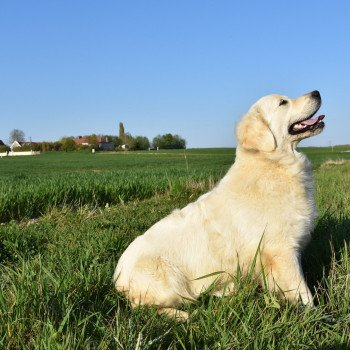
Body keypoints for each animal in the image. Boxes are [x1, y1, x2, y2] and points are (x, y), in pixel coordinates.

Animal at [115, 90, 326, 320]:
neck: (273, 164)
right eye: (282, 102)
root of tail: (118, 278)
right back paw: (183, 315)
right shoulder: (281, 250)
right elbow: (303, 291)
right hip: (167, 280)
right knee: (143, 307)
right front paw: (317, 316)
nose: (316, 92)